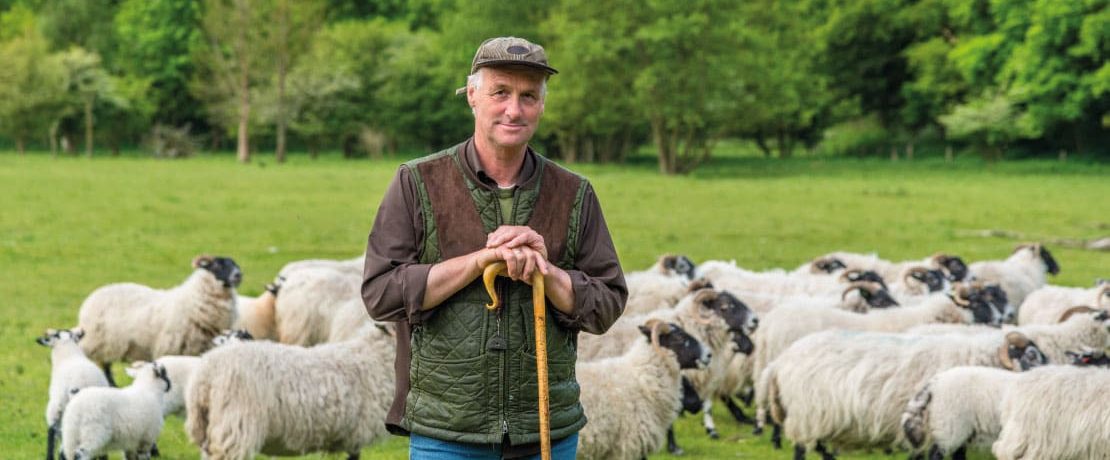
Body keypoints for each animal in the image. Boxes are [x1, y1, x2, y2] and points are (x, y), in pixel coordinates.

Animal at [77, 255, 243, 384]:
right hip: (99, 343)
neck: (194, 298)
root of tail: (93, 296)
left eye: (235, 264)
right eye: (216, 265)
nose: (238, 275)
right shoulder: (173, 348)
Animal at [759, 328, 1043, 457]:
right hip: (806, 414)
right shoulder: (945, 422)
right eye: (1031, 355)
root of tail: (779, 363)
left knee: (818, 446)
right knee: (801, 449)